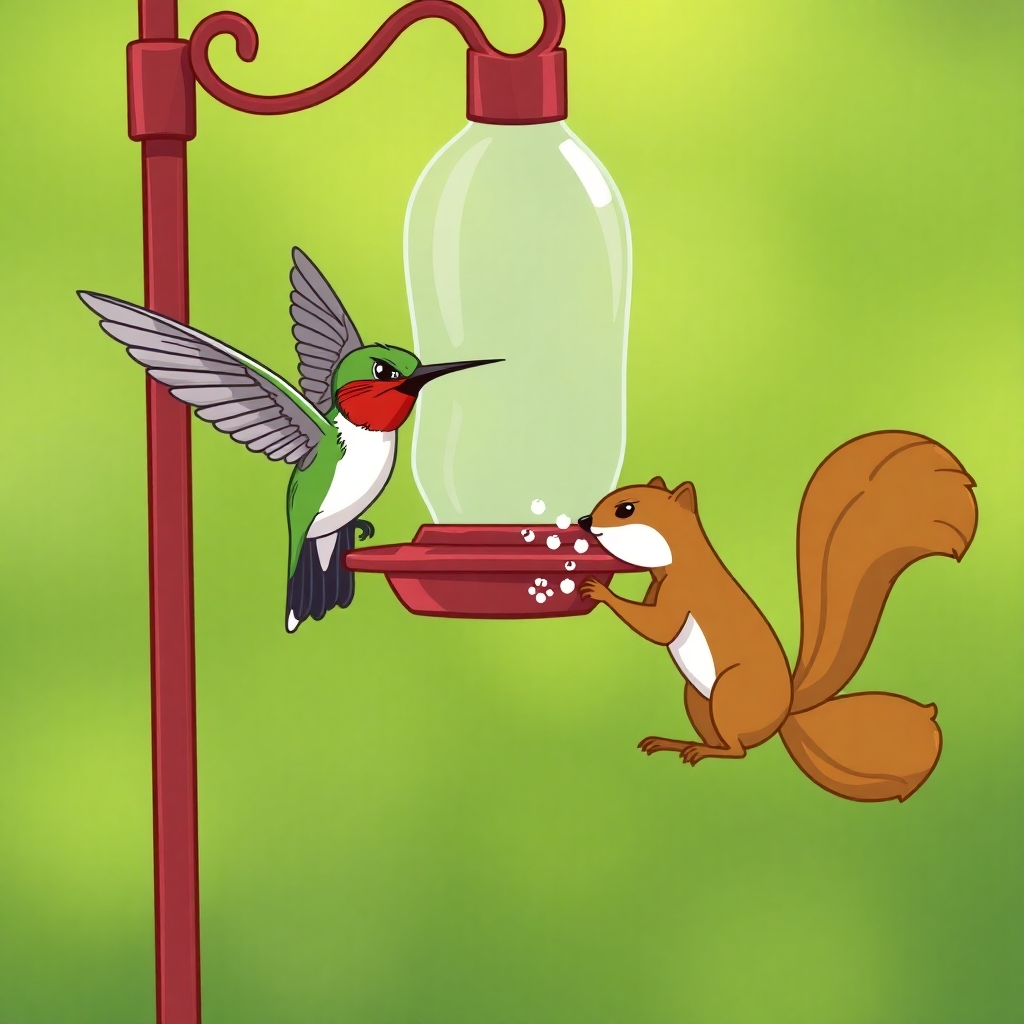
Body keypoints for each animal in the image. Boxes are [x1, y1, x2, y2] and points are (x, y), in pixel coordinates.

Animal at [577, 431, 978, 802]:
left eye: (626, 508)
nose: (584, 520)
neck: (678, 557)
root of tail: (784, 714)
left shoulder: (683, 593)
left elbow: (658, 628)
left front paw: (600, 592)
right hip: (698, 698)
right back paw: (676, 743)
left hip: (730, 692)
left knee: (738, 751)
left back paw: (703, 751)